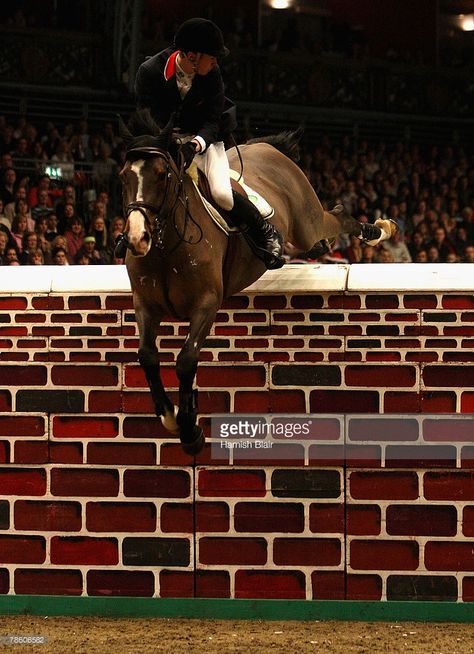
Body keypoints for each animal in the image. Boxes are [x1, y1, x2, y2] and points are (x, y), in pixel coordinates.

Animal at [118, 110, 396, 456]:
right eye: (123, 177)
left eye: (161, 175)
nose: (136, 238)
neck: (166, 246)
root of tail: (267, 147)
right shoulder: (145, 305)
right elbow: (147, 356)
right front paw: (170, 417)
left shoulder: (206, 303)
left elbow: (186, 360)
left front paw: (190, 431)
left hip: (306, 222)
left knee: (336, 218)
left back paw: (379, 230)